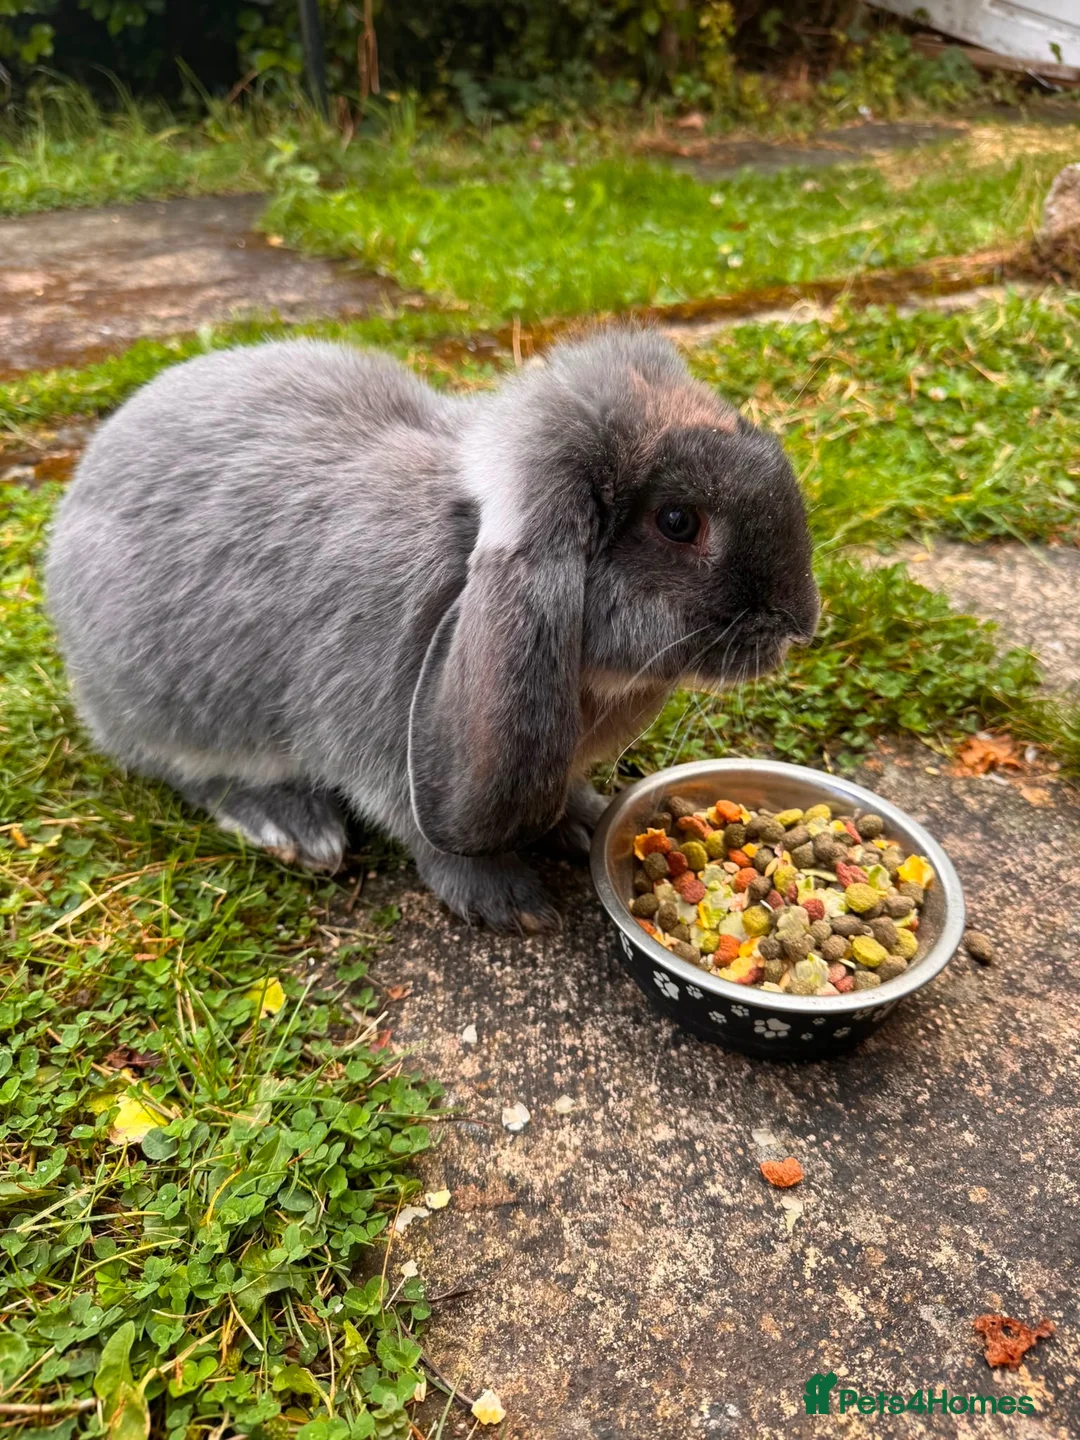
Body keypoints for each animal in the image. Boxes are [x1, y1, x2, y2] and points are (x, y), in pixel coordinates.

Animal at [45, 326, 819, 932]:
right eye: (678, 521)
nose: (801, 623)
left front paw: (588, 822)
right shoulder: (384, 742)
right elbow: (428, 837)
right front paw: (509, 904)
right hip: (179, 711)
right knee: (187, 771)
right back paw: (293, 827)